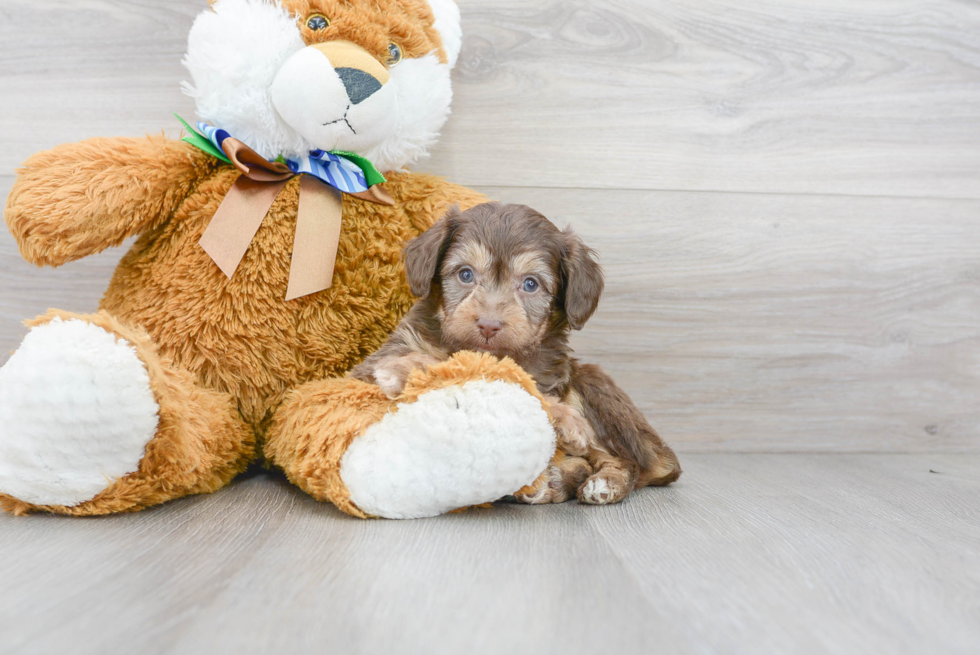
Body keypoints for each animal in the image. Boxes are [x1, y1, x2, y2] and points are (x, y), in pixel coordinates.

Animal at [352, 202, 680, 504]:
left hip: (592, 387)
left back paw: (603, 483)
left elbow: (522, 388)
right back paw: (554, 482)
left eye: (530, 284)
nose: (488, 324)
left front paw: (568, 421)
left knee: (630, 461)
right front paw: (407, 370)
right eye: (465, 274)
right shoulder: (375, 363)